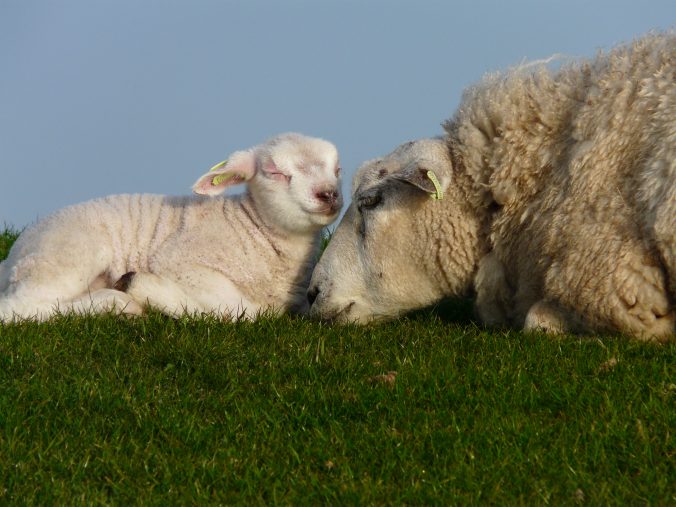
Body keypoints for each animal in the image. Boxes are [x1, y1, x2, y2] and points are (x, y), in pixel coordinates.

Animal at [0, 131, 344, 322]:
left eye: (338, 169)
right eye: (274, 172)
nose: (329, 194)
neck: (251, 226)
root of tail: (13, 257)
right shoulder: (178, 262)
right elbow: (240, 310)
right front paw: (150, 290)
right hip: (69, 255)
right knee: (19, 307)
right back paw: (119, 300)